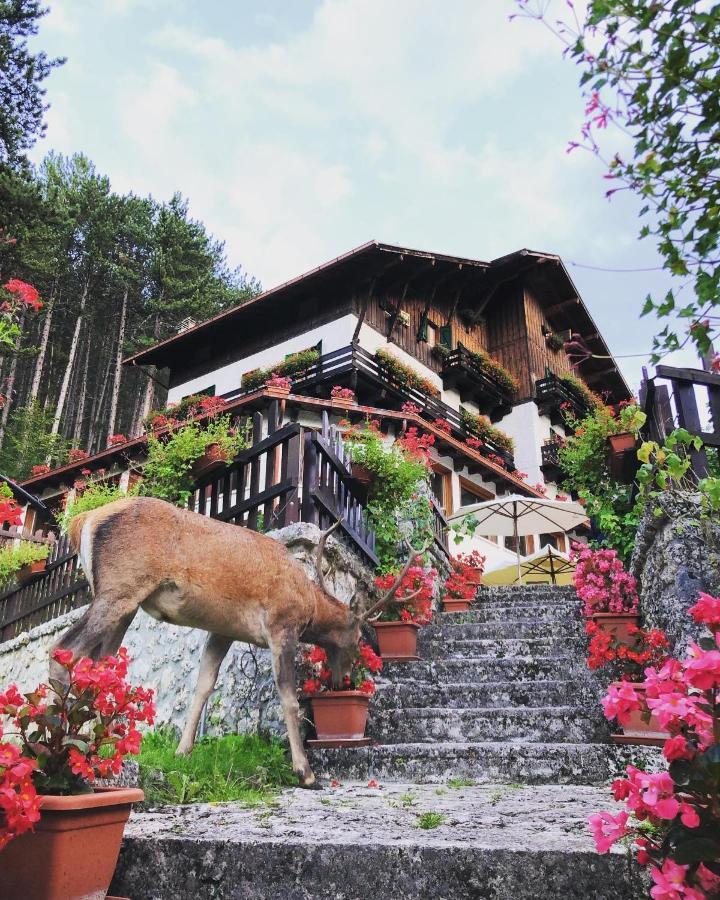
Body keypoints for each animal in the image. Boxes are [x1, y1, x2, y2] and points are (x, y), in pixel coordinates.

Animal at [53, 500, 430, 788]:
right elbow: (289, 697)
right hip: (120, 586)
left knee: (100, 664)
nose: (344, 681)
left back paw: (98, 741)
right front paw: (305, 772)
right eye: (358, 637)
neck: (308, 603)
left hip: (125, 603)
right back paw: (64, 741)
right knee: (65, 649)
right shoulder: (281, 625)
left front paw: (182, 751)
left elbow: (204, 685)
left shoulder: (224, 630)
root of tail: (82, 521)